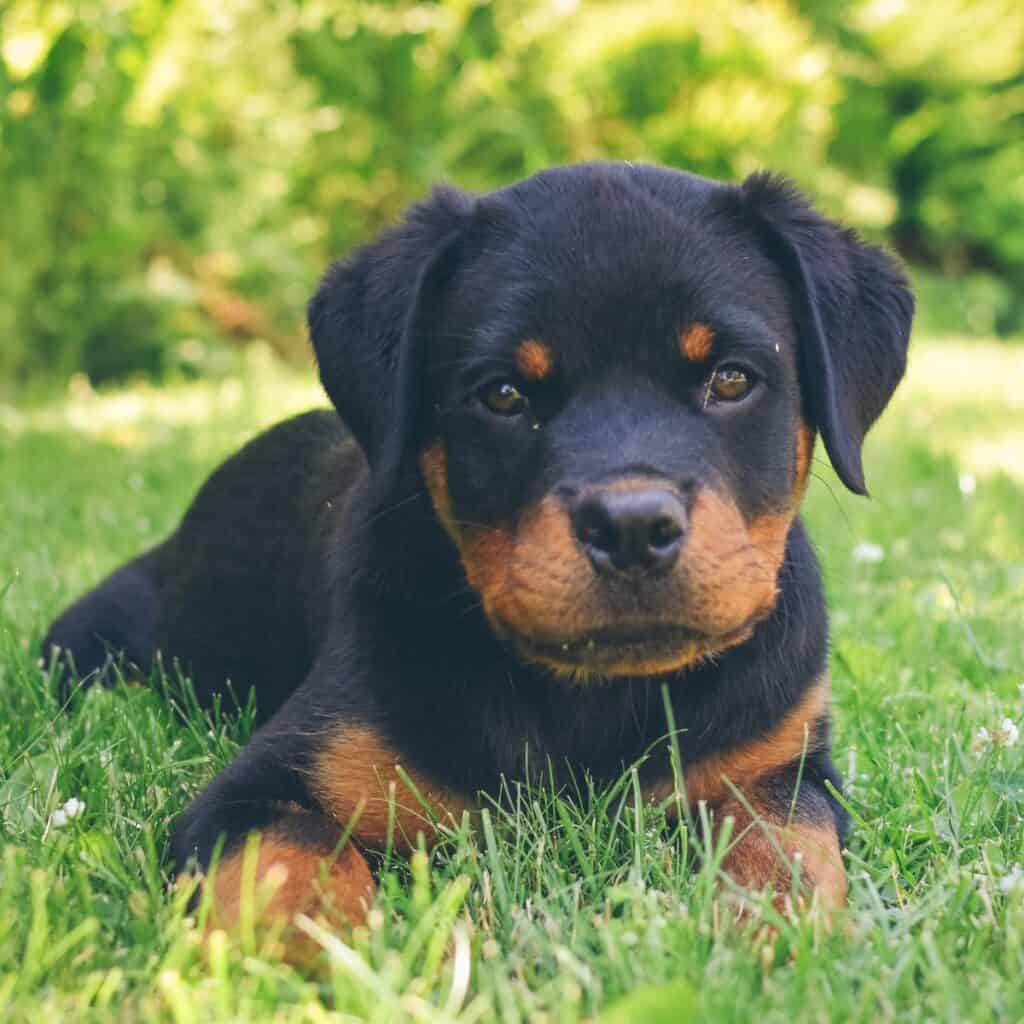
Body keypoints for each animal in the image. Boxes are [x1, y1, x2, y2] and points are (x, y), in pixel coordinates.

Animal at [46, 161, 913, 937]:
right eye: (502, 394)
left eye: (731, 380)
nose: (630, 526)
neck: (591, 699)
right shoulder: (264, 785)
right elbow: (289, 862)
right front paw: (323, 963)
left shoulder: (782, 762)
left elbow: (788, 844)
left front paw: (777, 939)